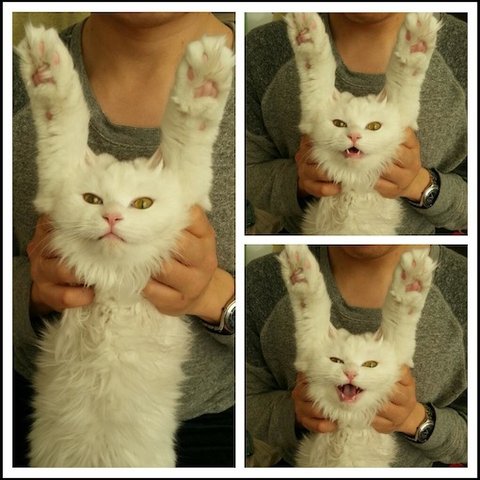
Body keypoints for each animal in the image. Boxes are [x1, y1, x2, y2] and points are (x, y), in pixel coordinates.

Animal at [16, 24, 233, 467]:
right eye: (92, 200)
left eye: (142, 204)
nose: (113, 218)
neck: (113, 287)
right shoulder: (56, 176)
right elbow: (60, 118)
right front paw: (45, 70)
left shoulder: (187, 185)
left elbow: (187, 129)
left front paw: (203, 80)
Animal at [279, 244, 435, 466]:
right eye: (336, 360)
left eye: (370, 364)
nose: (351, 374)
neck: (348, 424)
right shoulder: (309, 340)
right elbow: (311, 304)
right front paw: (299, 271)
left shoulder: (399, 347)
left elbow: (400, 313)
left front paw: (412, 280)